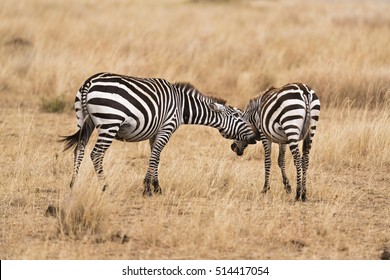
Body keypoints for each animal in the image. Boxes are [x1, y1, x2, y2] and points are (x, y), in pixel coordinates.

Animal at [61, 71, 258, 196]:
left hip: (86, 121)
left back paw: (73, 185)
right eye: (239, 117)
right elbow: (156, 156)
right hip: (110, 122)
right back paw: (106, 188)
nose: (256, 136)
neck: (181, 106)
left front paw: (155, 187)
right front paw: (148, 188)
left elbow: (155, 157)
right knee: (96, 154)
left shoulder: (155, 133)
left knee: (79, 149)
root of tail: (89, 82)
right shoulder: (166, 128)